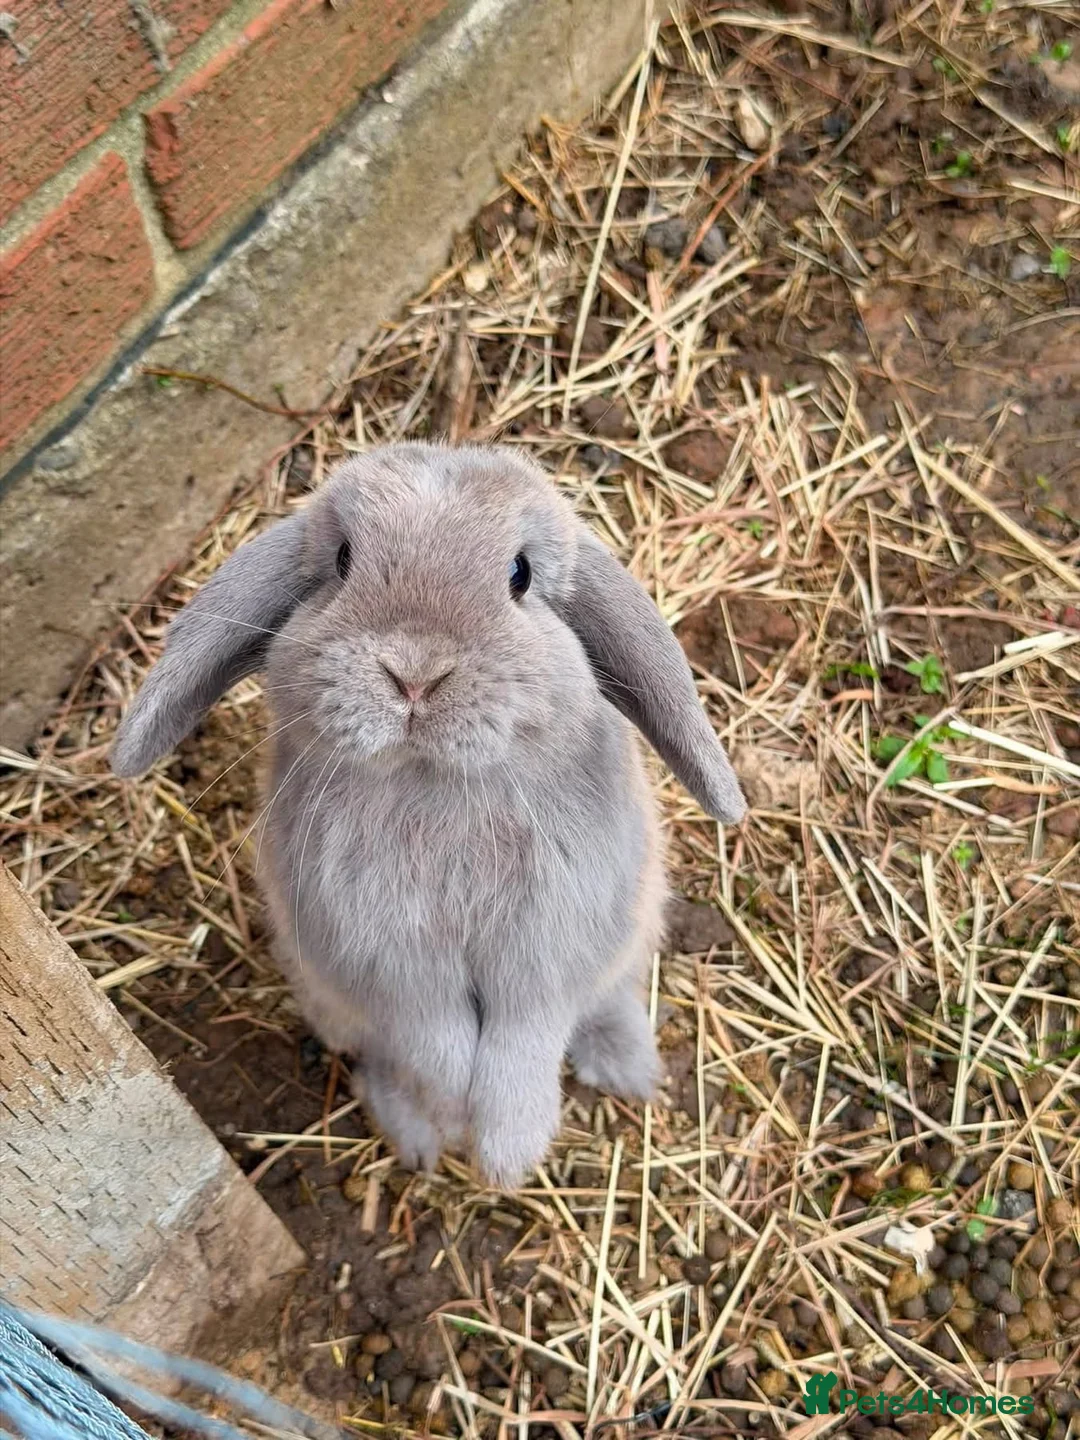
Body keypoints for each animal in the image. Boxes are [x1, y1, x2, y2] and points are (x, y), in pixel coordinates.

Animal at [111, 444, 745, 1187]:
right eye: (343, 560)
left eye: (520, 573)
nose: (414, 673)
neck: (436, 785)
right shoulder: (392, 966)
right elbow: (433, 1044)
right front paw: (450, 1119)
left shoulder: (544, 954)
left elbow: (523, 1046)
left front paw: (507, 1158)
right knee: (381, 1058)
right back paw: (415, 1137)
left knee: (606, 1002)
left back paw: (631, 1074)